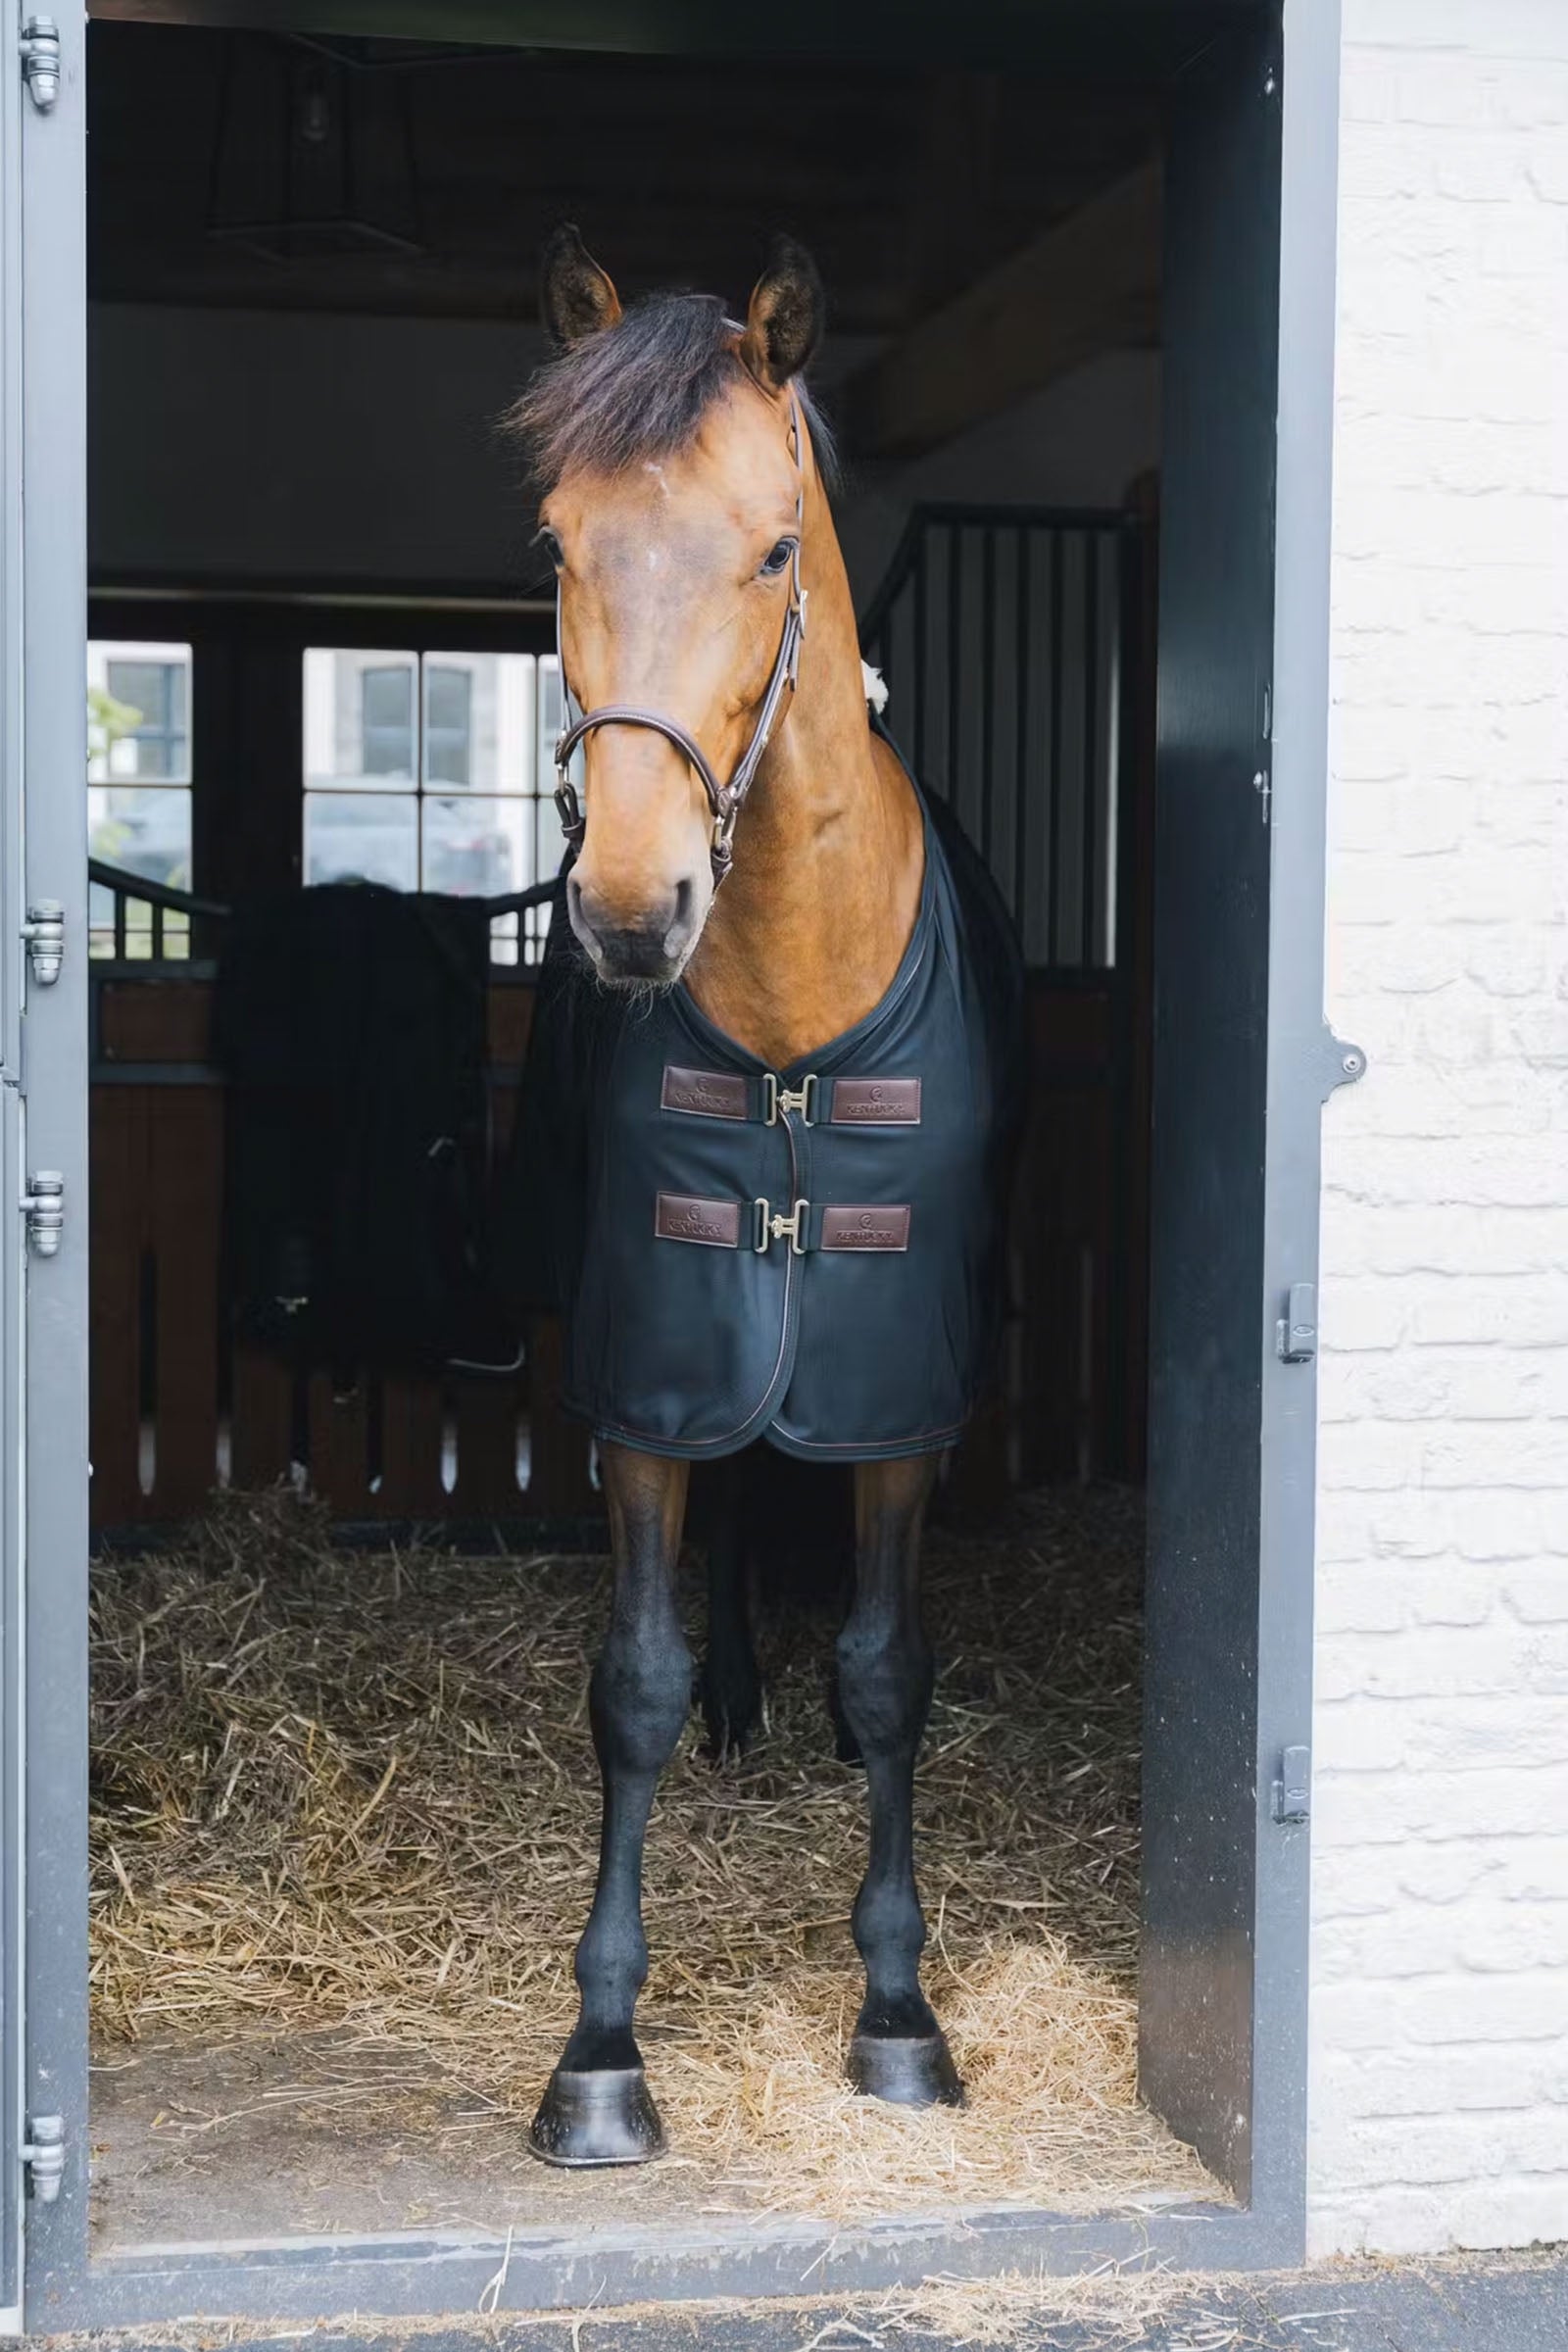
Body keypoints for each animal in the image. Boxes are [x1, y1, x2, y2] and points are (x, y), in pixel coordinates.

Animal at [509, 227, 1023, 2168]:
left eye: (776, 546)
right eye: (560, 542)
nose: (630, 906)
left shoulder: (896, 1403)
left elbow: (885, 1674)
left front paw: (898, 2013)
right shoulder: (653, 1374)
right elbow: (633, 1684)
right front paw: (600, 2052)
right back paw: (738, 1698)